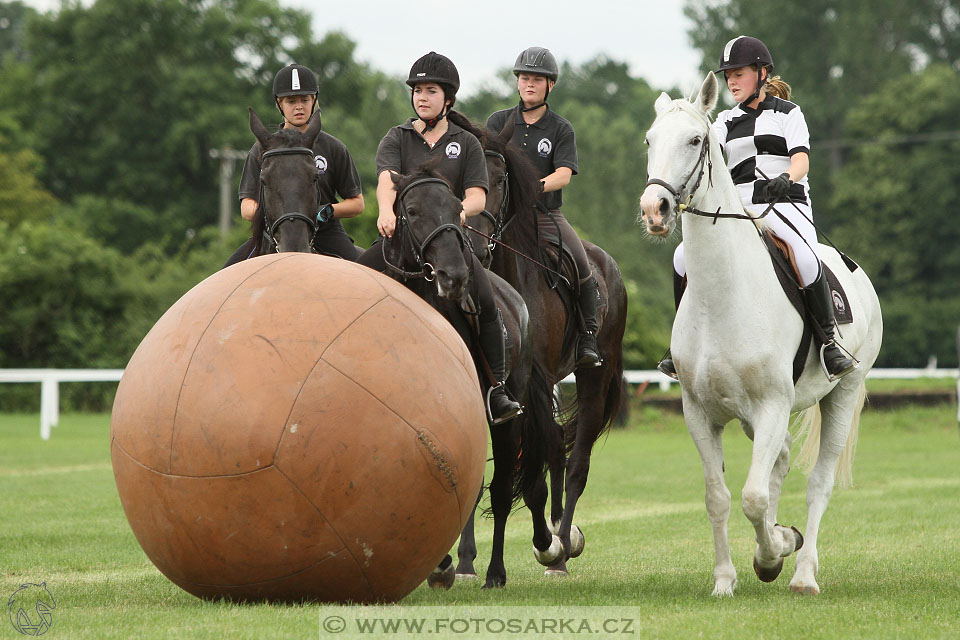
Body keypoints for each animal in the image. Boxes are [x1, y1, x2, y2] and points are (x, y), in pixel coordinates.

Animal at [356, 165, 560, 592]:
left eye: (456, 208)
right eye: (412, 211)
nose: (454, 275)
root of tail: (517, 303)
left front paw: (447, 564)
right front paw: (441, 563)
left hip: (505, 416)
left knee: (502, 490)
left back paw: (498, 571)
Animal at [464, 117, 632, 576]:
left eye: (500, 179)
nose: (475, 241)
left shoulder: (531, 383)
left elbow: (537, 467)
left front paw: (549, 543)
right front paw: (465, 561)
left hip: (593, 375)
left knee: (576, 462)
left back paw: (562, 545)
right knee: (557, 445)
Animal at [640, 72, 880, 596]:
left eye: (695, 140)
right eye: (649, 140)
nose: (655, 208)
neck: (722, 298)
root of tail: (854, 271)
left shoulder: (771, 404)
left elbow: (751, 496)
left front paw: (772, 555)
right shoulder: (700, 413)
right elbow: (719, 497)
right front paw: (726, 580)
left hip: (842, 393)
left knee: (817, 483)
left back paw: (803, 571)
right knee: (781, 462)